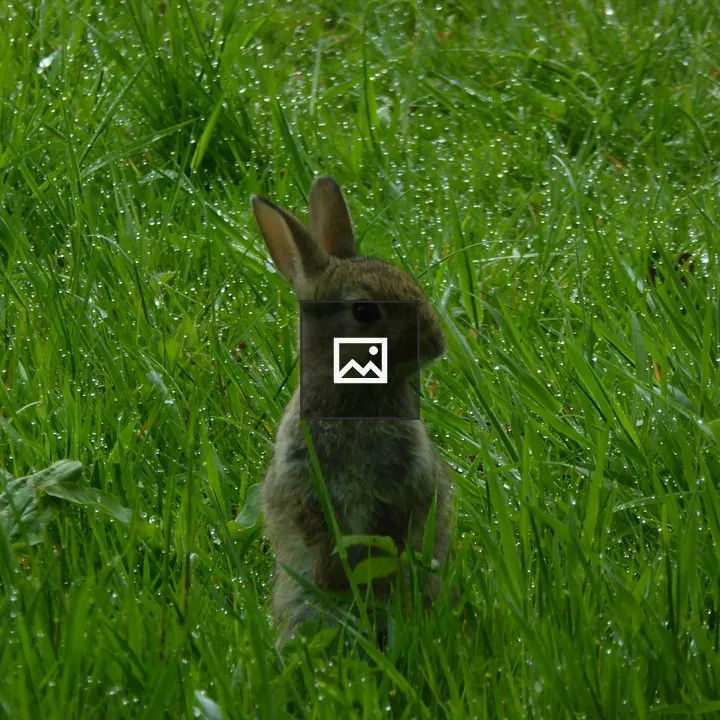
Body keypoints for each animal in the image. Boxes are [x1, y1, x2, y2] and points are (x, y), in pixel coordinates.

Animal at [250, 177, 453, 644]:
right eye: (364, 311)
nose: (436, 344)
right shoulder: (303, 482)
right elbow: (318, 534)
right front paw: (337, 580)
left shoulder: (402, 483)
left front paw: (371, 582)